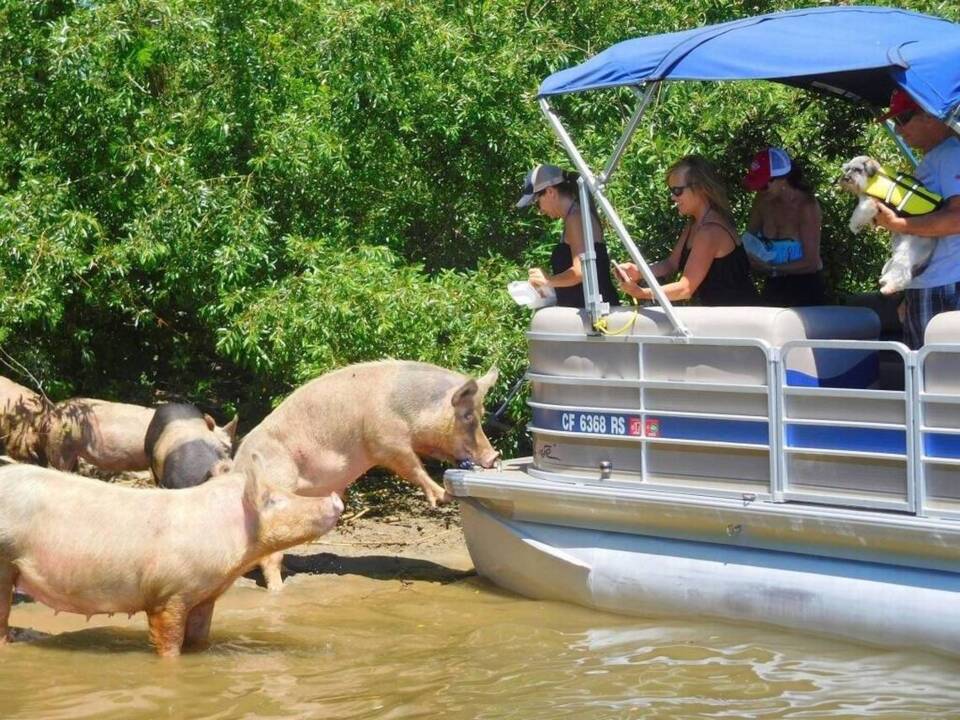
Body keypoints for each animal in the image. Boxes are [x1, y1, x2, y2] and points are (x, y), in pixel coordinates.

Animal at [0, 458, 344, 656]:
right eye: (272, 499)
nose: (336, 498)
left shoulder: (204, 595)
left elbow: (200, 638)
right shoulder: (169, 593)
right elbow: (169, 643)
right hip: (4, 560)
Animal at [234, 360, 502, 592]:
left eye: (482, 413)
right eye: (467, 416)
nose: (494, 456)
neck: (412, 409)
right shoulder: (385, 440)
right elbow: (411, 466)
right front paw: (444, 496)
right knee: (269, 558)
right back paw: (279, 588)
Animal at [840, 155, 936, 296]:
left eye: (857, 169)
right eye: (847, 169)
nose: (846, 178)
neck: (873, 179)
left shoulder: (870, 203)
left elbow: (859, 213)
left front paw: (854, 226)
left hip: (905, 251)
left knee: (902, 274)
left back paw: (889, 287)